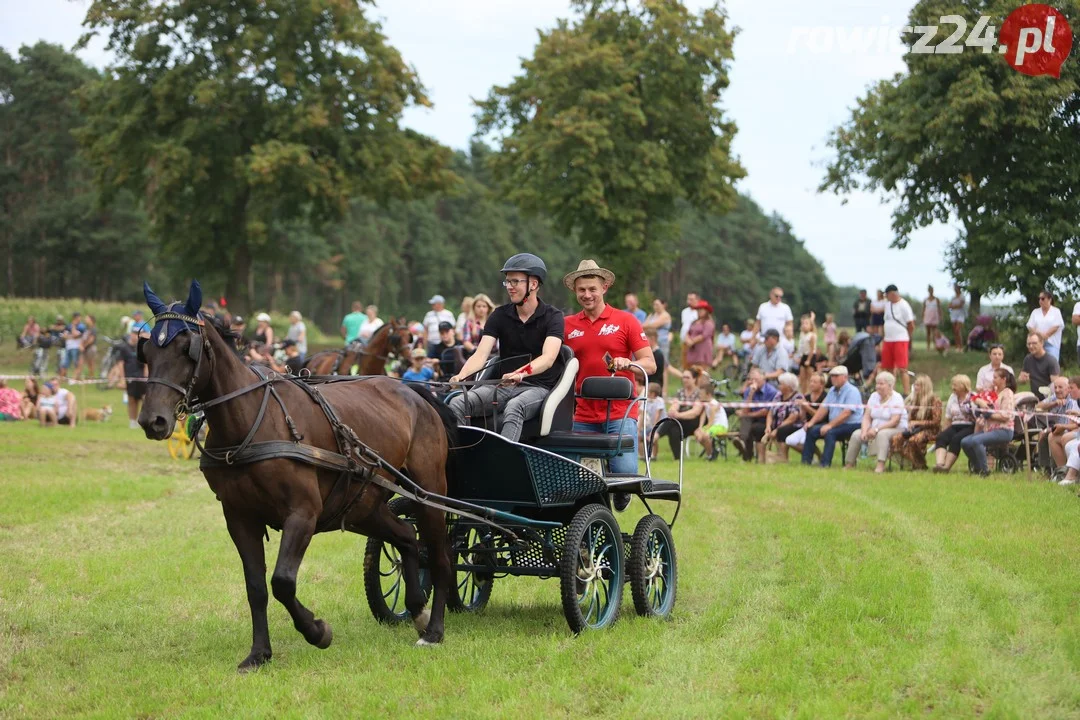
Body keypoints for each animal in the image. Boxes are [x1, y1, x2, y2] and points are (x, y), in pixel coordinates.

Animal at [136, 280, 455, 669]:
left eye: (187, 349)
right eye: (146, 350)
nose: (153, 420)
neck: (250, 421)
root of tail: (414, 392)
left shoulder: (303, 513)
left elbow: (282, 582)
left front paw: (318, 631)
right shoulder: (239, 517)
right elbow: (256, 587)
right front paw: (259, 653)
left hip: (428, 492)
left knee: (438, 555)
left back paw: (434, 629)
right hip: (363, 506)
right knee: (407, 537)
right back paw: (417, 609)